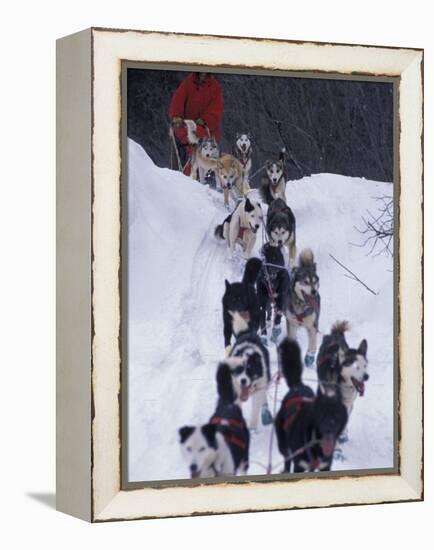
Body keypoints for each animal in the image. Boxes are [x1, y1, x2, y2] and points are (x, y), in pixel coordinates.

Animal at [274, 340, 350, 474]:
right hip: (284, 445)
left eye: (337, 416)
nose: (329, 430)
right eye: (323, 415)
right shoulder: (299, 466)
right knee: (287, 459)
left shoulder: (325, 466)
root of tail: (298, 386)